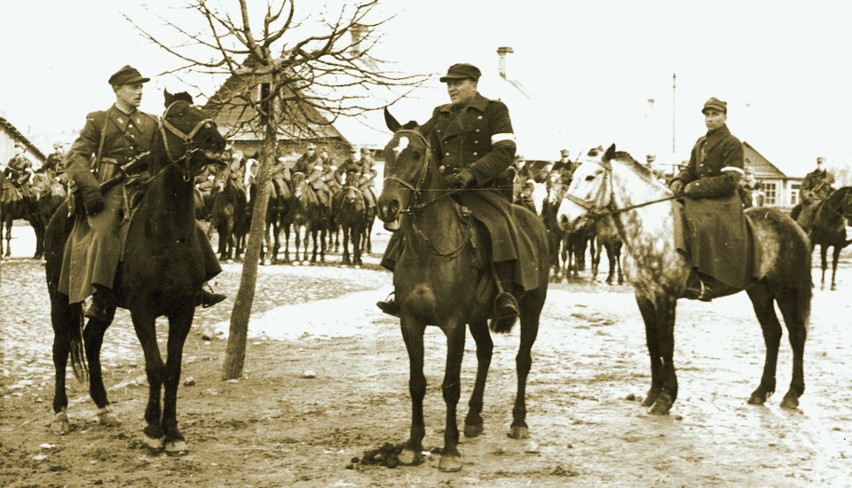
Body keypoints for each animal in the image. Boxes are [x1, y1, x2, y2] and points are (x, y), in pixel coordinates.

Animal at [44, 91, 225, 454]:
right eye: (179, 113)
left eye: (201, 110)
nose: (217, 140)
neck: (167, 232)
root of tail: (59, 214)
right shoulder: (142, 311)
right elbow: (155, 367)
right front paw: (153, 430)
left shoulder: (183, 311)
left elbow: (173, 369)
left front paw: (173, 432)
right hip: (59, 298)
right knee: (60, 349)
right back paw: (61, 414)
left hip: (106, 305)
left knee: (92, 340)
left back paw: (104, 407)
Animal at [376, 111, 548, 472]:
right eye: (385, 152)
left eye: (415, 154)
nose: (387, 206)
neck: (429, 249)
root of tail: (533, 220)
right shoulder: (410, 322)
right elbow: (417, 383)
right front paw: (412, 446)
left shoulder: (454, 324)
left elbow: (450, 385)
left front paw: (450, 450)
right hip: (478, 317)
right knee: (486, 352)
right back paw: (473, 417)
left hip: (532, 310)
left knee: (522, 360)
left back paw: (518, 422)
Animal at [556, 146, 808, 416]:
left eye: (590, 177)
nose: (563, 219)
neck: (651, 226)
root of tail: (792, 224)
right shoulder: (643, 295)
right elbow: (652, 342)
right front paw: (653, 392)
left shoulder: (665, 296)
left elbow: (666, 343)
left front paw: (666, 398)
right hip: (759, 291)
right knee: (772, 333)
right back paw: (761, 391)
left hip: (787, 290)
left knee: (796, 334)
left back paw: (792, 394)